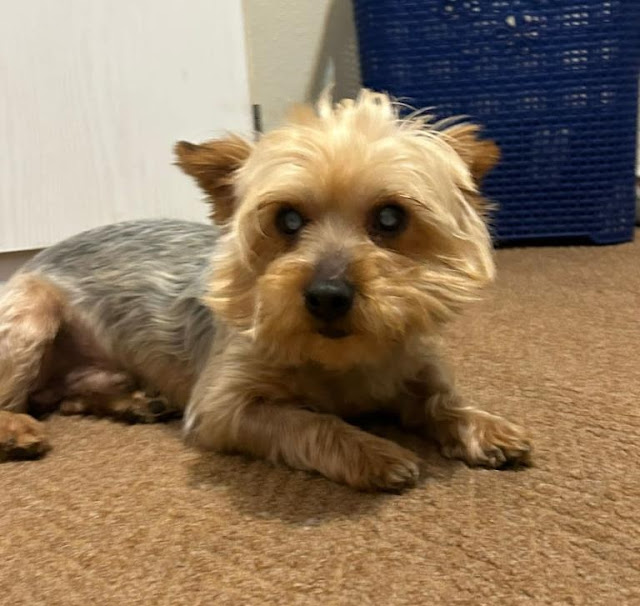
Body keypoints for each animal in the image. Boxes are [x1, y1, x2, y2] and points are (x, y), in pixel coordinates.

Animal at [0, 89, 528, 490]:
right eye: (287, 219)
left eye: (390, 218)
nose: (327, 296)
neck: (343, 359)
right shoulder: (224, 406)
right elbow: (309, 421)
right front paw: (374, 451)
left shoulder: (413, 362)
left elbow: (441, 400)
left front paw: (484, 426)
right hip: (30, 312)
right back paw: (17, 430)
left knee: (63, 396)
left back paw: (135, 402)